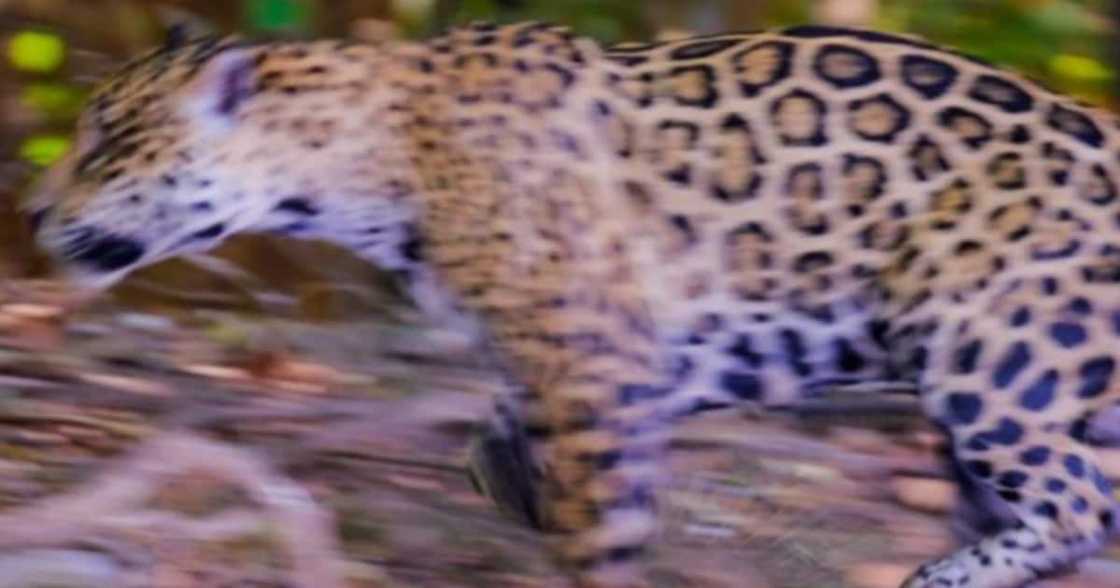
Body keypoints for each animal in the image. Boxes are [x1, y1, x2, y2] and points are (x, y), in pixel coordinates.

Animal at [24, 20, 1120, 588]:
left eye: (109, 143)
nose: (30, 210)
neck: (373, 160)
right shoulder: (622, 362)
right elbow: (493, 440)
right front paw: (517, 485)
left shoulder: (601, 361)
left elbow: (601, 518)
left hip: (989, 356)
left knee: (1081, 502)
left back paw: (943, 575)